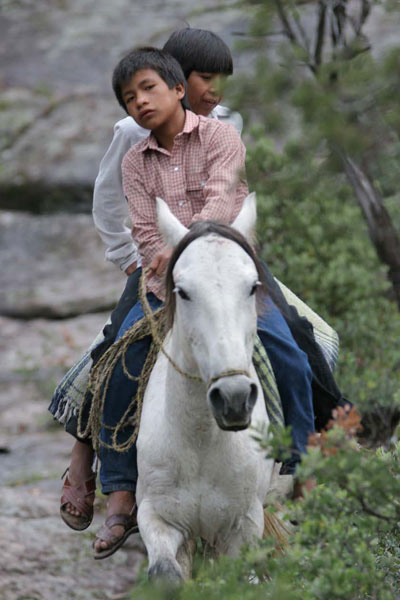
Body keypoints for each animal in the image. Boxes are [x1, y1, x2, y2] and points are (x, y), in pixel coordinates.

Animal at [136, 195, 274, 584]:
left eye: (253, 286)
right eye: (183, 292)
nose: (233, 398)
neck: (199, 443)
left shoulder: (242, 528)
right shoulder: (157, 518)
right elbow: (167, 576)